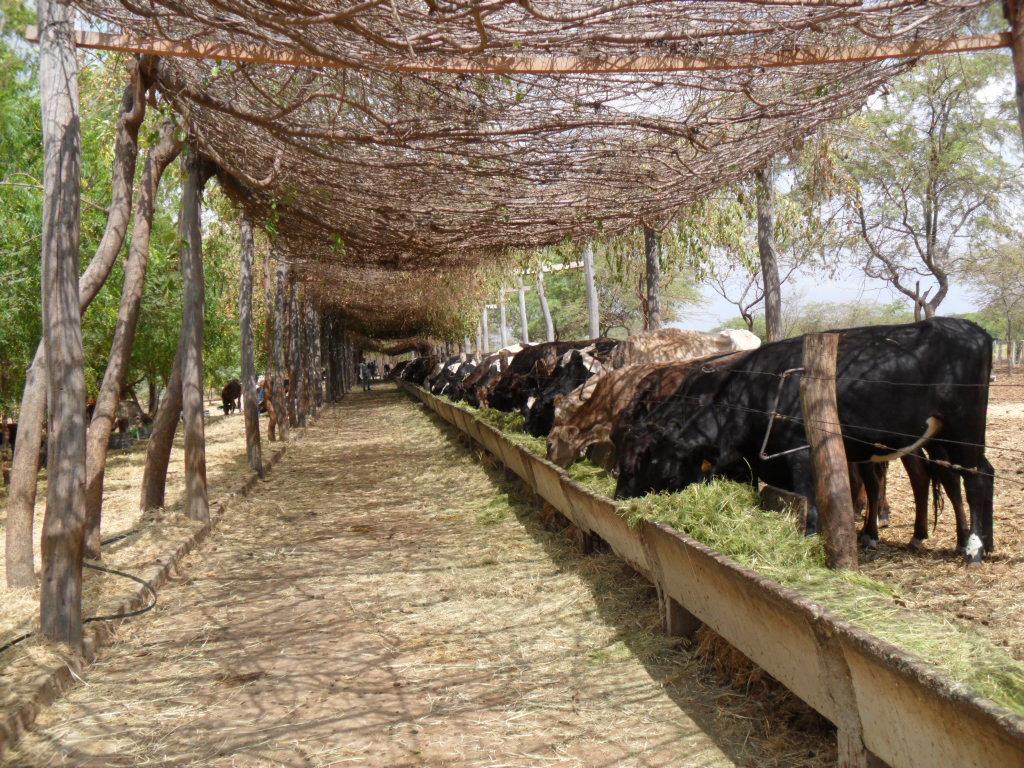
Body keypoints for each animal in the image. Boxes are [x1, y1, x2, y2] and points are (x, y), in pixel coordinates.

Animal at [614, 319, 991, 565]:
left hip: (963, 429)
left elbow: (808, 500)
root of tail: (971, 328)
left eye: (657, 464)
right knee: (957, 476)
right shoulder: (749, 464)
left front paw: (810, 538)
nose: (619, 500)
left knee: (974, 477)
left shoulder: (801, 454)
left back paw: (973, 549)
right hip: (928, 438)